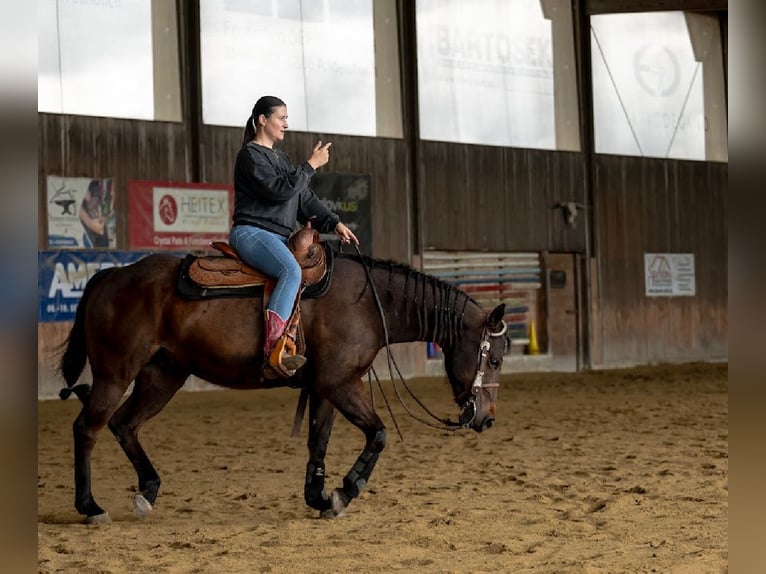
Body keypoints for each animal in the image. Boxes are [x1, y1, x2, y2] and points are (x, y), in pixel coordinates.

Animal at [58, 247, 508, 523]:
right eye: (495, 359)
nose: (487, 418)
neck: (368, 301)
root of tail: (112, 275)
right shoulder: (341, 383)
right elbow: (378, 434)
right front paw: (346, 489)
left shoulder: (326, 387)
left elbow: (318, 442)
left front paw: (320, 497)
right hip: (115, 374)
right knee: (87, 428)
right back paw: (90, 506)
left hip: (162, 375)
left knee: (124, 425)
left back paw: (147, 491)